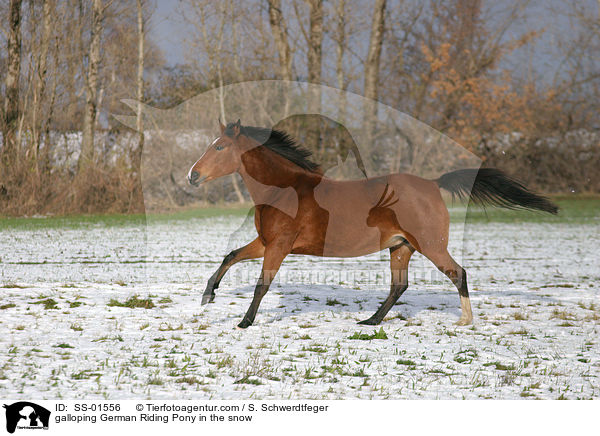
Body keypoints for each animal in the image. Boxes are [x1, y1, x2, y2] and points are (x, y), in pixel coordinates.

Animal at [188, 119, 556, 328]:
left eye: (219, 146)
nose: (192, 175)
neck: (285, 190)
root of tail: (433, 184)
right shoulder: (266, 242)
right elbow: (231, 256)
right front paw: (208, 295)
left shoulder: (279, 246)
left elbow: (261, 284)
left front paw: (244, 322)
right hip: (401, 247)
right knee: (399, 286)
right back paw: (370, 321)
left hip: (430, 245)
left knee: (457, 273)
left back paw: (465, 320)